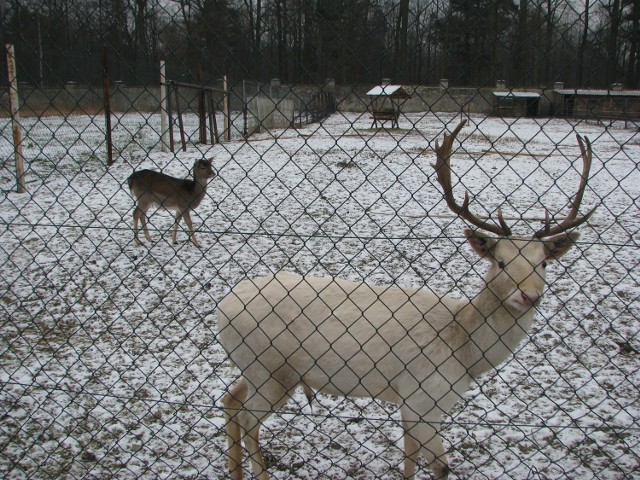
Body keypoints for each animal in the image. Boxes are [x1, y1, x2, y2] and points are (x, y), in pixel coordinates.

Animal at [216, 121, 596, 480]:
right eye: (500, 262)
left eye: (543, 262)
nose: (529, 295)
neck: (465, 353)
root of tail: (222, 308)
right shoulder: (421, 398)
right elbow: (441, 467)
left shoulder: (408, 402)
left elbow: (410, 461)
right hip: (271, 369)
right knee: (248, 420)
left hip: (257, 369)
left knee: (230, 400)